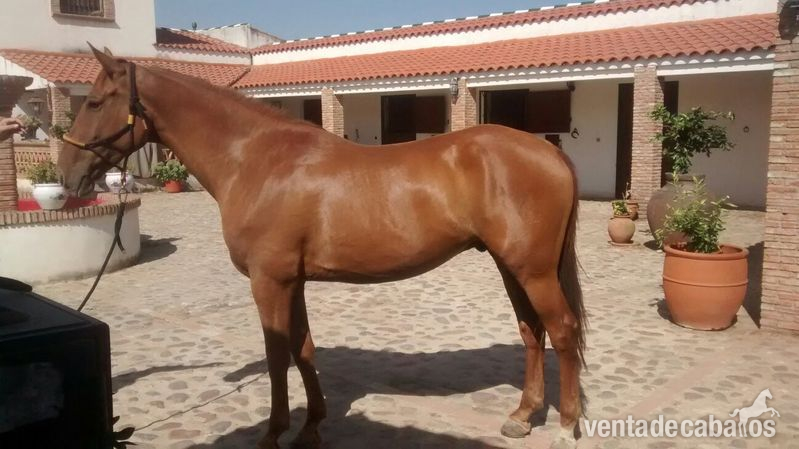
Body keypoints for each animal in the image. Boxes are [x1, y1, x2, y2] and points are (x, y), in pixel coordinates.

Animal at [57, 46, 587, 449]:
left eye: (95, 102)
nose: (66, 174)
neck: (256, 159)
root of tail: (550, 151)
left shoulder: (269, 281)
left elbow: (277, 355)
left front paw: (272, 433)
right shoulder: (293, 281)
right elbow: (303, 348)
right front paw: (311, 426)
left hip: (533, 270)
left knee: (561, 330)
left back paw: (565, 427)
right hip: (511, 266)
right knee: (532, 332)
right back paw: (522, 417)